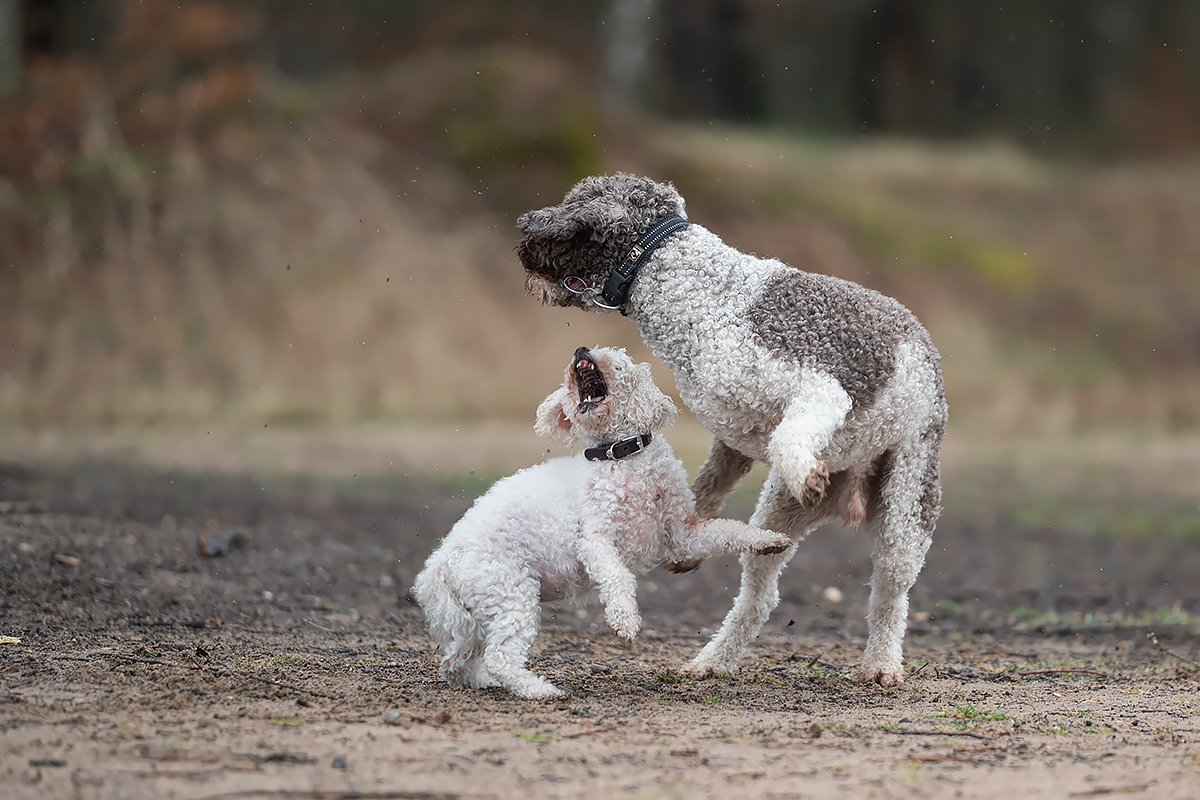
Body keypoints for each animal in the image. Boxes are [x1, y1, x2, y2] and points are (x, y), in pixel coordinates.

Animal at [415, 347, 796, 695]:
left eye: (618, 363)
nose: (580, 350)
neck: (621, 455)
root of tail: (442, 560)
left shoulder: (683, 532)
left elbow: (730, 531)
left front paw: (769, 540)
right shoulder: (596, 540)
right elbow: (617, 577)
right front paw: (625, 621)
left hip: (481, 614)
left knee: (455, 660)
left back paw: (483, 682)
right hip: (511, 595)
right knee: (499, 658)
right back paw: (538, 690)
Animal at [516, 172, 945, 686]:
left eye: (570, 216)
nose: (520, 245)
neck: (698, 293)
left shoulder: (820, 389)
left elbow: (788, 435)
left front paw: (806, 472)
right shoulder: (731, 436)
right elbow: (705, 490)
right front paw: (683, 546)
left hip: (907, 504)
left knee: (889, 595)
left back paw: (881, 663)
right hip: (778, 517)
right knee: (760, 597)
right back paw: (713, 661)